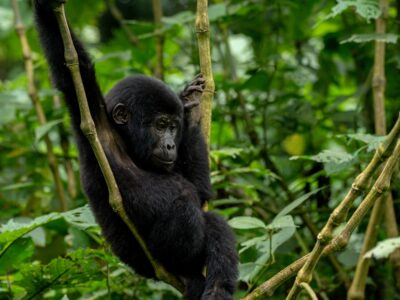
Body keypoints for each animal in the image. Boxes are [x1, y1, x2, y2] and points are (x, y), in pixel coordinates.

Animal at [34, 0, 238, 300]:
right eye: (161, 125)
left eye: (174, 127)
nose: (170, 144)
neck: (128, 145)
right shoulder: (95, 126)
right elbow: (72, 69)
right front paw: (47, 8)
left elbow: (201, 191)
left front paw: (190, 105)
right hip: (157, 263)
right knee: (186, 206)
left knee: (212, 221)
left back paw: (217, 288)